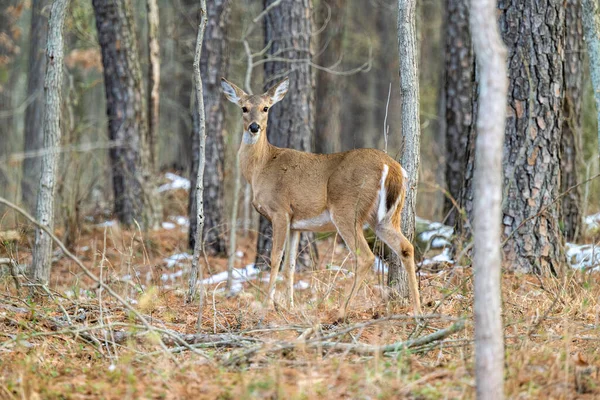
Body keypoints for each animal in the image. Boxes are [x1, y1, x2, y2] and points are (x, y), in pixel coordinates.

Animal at [220, 76, 422, 318]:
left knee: (365, 257)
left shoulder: (280, 211)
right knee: (406, 247)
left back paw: (342, 310)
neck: (261, 167)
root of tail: (391, 166)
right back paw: (418, 309)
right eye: (244, 108)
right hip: (385, 216)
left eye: (265, 108)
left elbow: (275, 259)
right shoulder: (296, 224)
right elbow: (290, 265)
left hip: (347, 209)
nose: (254, 127)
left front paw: (267, 305)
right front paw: (289, 306)